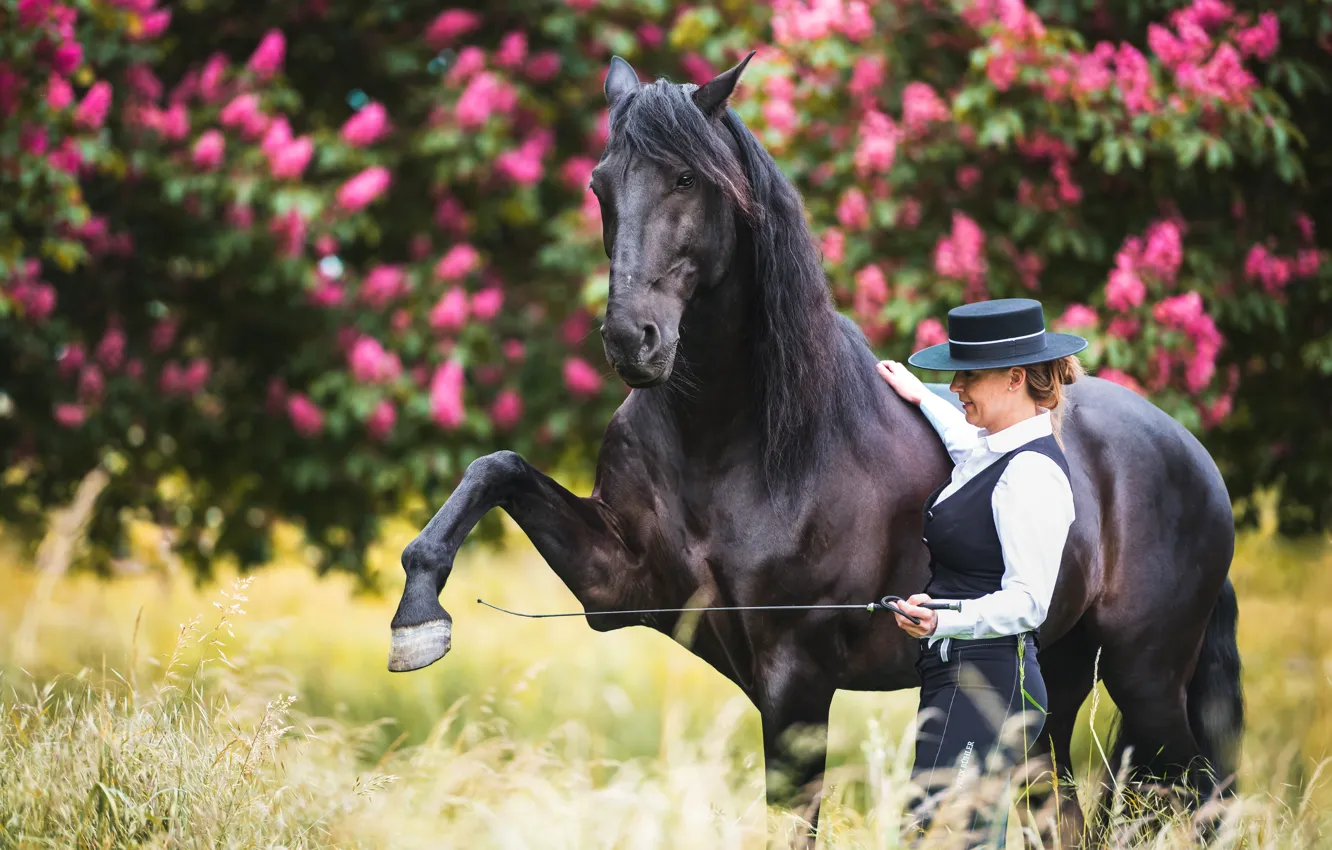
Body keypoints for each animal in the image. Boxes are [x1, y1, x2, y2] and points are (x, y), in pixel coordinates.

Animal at [386, 53, 1243, 847]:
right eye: (601, 186)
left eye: (686, 180)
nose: (634, 341)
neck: (736, 443)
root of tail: (1192, 456)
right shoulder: (616, 587)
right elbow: (495, 469)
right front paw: (418, 619)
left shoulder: (795, 681)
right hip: (1055, 682)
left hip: (1144, 678)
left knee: (1196, 792)